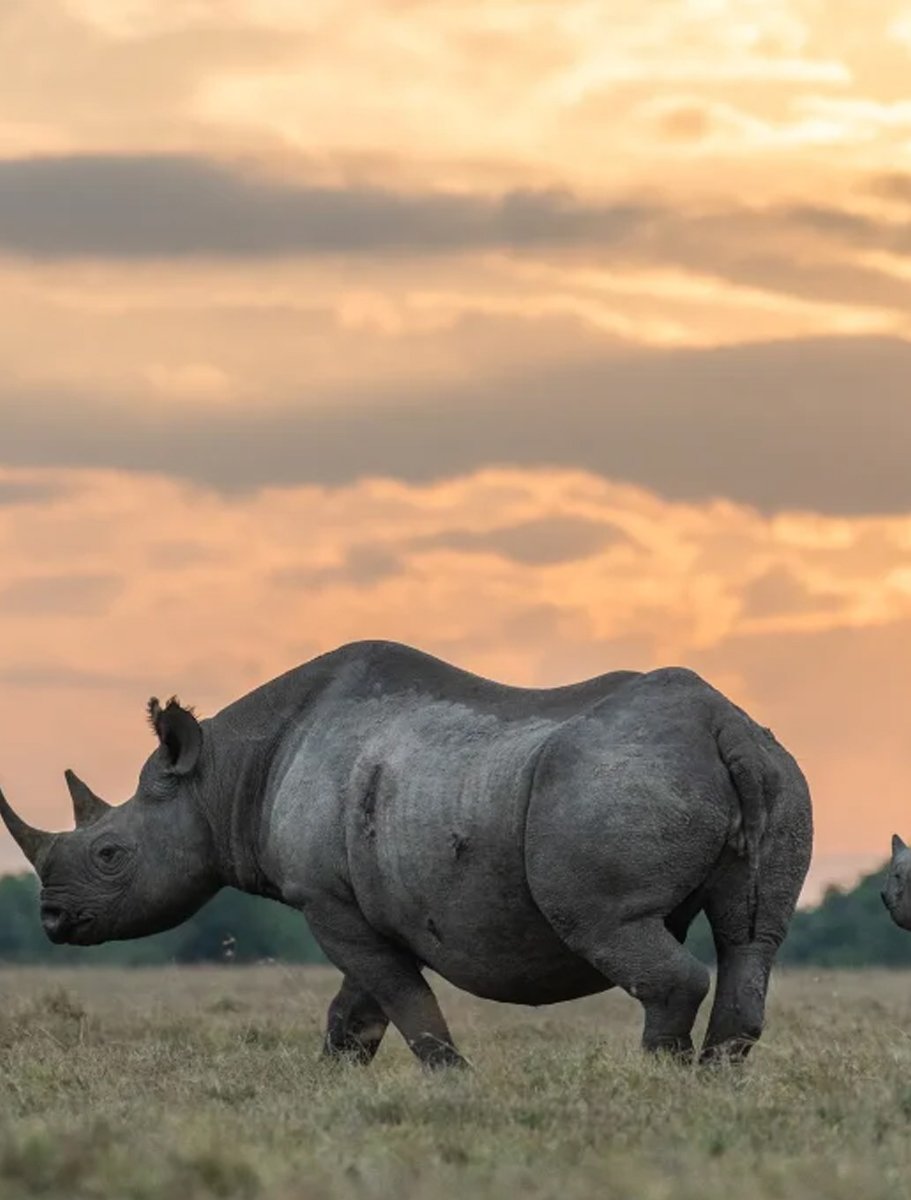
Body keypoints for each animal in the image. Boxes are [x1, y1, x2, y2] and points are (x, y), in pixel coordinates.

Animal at [0, 640, 812, 1065]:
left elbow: (395, 995)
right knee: (751, 938)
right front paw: (331, 1087)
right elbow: (358, 1006)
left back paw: (654, 1079)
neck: (223, 776)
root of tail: (724, 725)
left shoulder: (324, 898)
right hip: (775, 770)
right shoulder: (367, 898)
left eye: (110, 854)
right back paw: (713, 1082)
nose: (52, 921)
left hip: (616, 781)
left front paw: (451, 1078)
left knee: (611, 927)